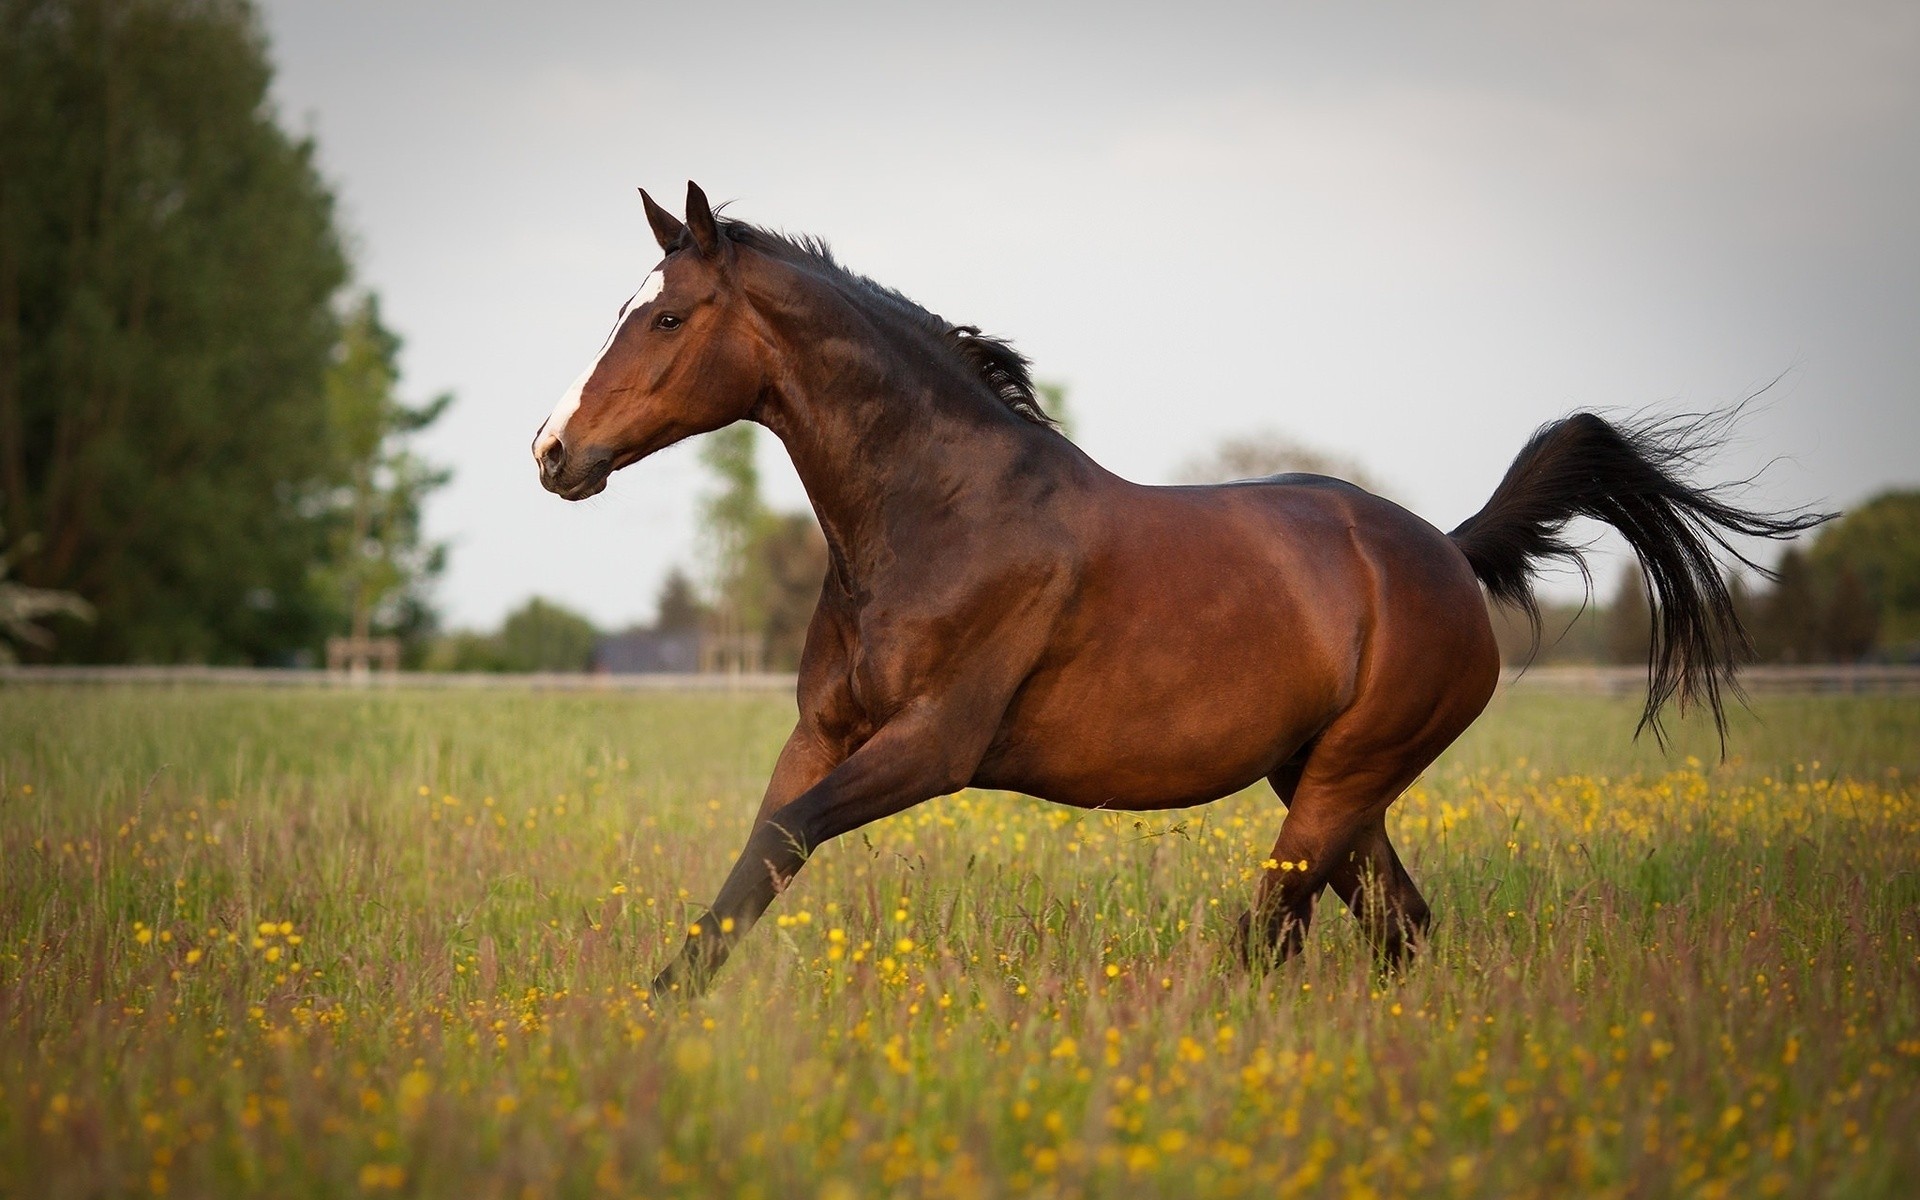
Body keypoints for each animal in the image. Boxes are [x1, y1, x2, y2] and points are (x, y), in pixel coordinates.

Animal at [533, 182, 1820, 998]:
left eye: (666, 316)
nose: (552, 453)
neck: (939, 516)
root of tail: (1449, 555)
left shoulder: (934, 746)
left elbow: (790, 836)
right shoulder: (824, 732)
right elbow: (758, 859)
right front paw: (657, 1010)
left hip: (1339, 783)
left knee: (1276, 937)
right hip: (1330, 783)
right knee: (1396, 928)